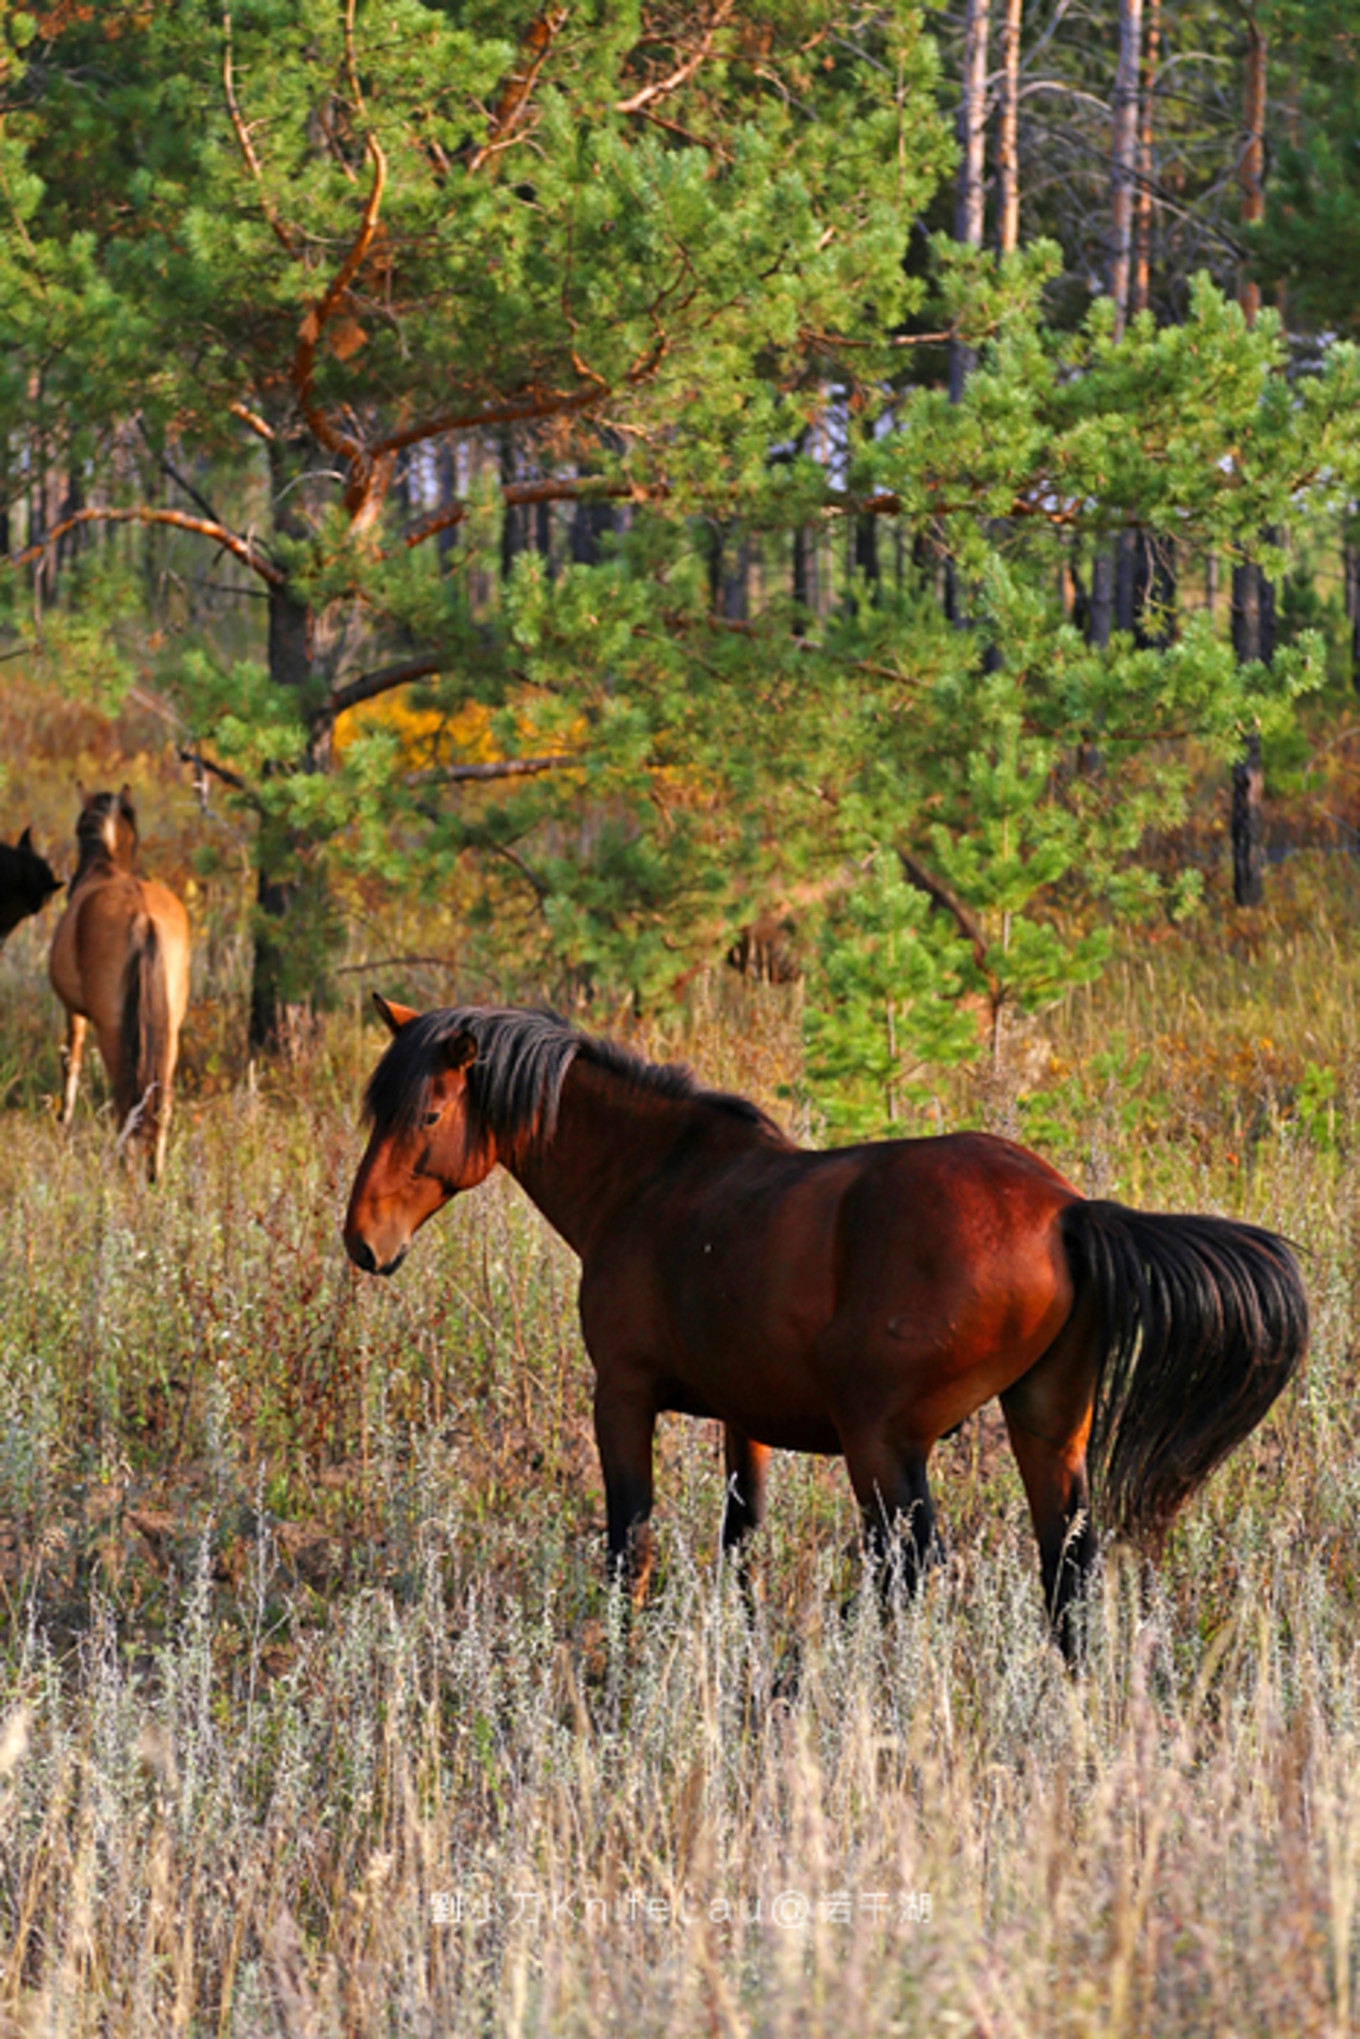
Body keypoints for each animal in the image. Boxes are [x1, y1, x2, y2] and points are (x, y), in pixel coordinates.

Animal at [47, 787, 190, 1190]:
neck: (106, 866)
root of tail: (143, 916)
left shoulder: (74, 1011)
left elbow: (72, 1061)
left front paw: (64, 1120)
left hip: (111, 1029)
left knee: (128, 1099)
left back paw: (127, 1178)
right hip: (169, 1032)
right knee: (160, 1103)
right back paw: (155, 1176)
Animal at [342, 999, 1304, 1655]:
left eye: (428, 1115)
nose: (362, 1241)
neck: (653, 1180)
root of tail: (1067, 1211)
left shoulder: (620, 1394)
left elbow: (630, 1543)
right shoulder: (745, 1421)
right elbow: (740, 1541)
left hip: (882, 1445)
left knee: (911, 1569)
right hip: (1044, 1429)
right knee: (1064, 1565)